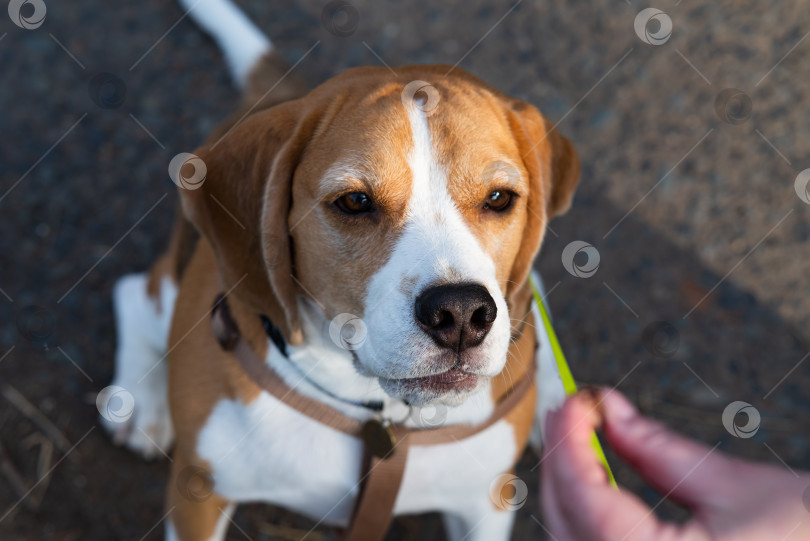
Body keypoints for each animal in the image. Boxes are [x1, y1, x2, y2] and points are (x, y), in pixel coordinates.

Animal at [102, 2, 576, 536]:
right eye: (354, 202)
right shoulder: (197, 494)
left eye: (498, 198)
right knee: (133, 292)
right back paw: (140, 399)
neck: (379, 415)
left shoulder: (484, 504)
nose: (460, 314)